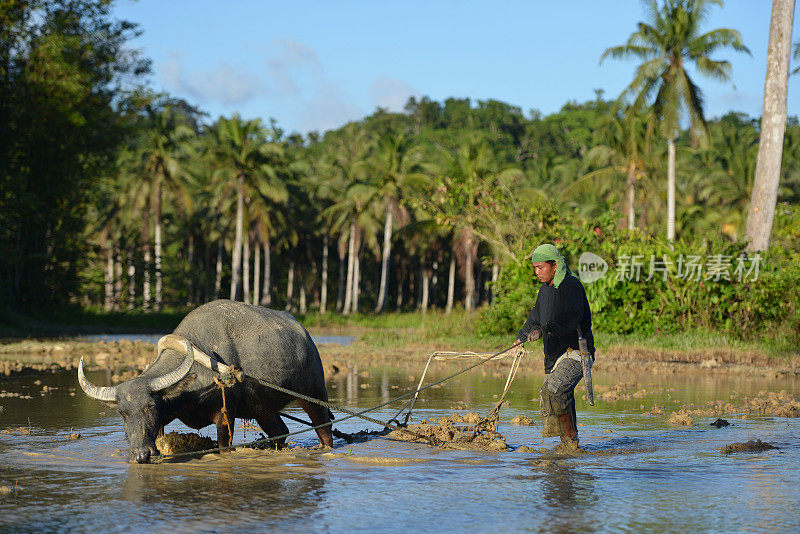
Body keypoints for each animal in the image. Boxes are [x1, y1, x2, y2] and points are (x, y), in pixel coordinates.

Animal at [76, 302, 332, 464]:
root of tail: (305, 334)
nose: (140, 456)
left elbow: (222, 446)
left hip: (314, 391)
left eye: (150, 407)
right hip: (262, 408)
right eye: (122, 412)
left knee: (324, 426)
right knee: (280, 432)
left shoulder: (225, 415)